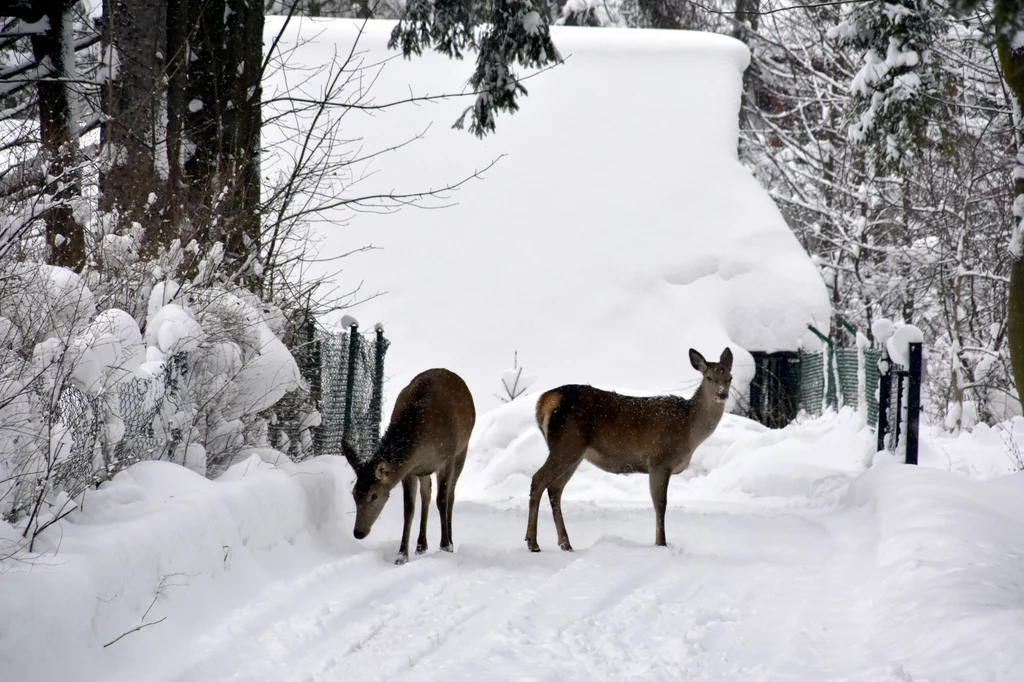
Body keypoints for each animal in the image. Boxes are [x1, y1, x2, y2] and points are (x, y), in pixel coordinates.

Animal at [342, 366, 473, 561]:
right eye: (354, 493)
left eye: (374, 495)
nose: (358, 532)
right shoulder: (409, 469)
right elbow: (408, 509)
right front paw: (402, 554)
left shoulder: (447, 458)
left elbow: (442, 500)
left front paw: (445, 546)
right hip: (423, 469)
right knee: (426, 495)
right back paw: (421, 545)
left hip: (462, 450)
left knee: (450, 495)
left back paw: (449, 540)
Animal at [524, 348, 733, 548]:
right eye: (709, 377)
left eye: (729, 378)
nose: (722, 394)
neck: (689, 431)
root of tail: (545, 400)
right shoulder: (659, 460)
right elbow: (660, 504)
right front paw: (661, 544)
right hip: (567, 444)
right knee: (538, 479)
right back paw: (533, 542)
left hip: (574, 452)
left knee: (555, 488)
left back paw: (565, 543)